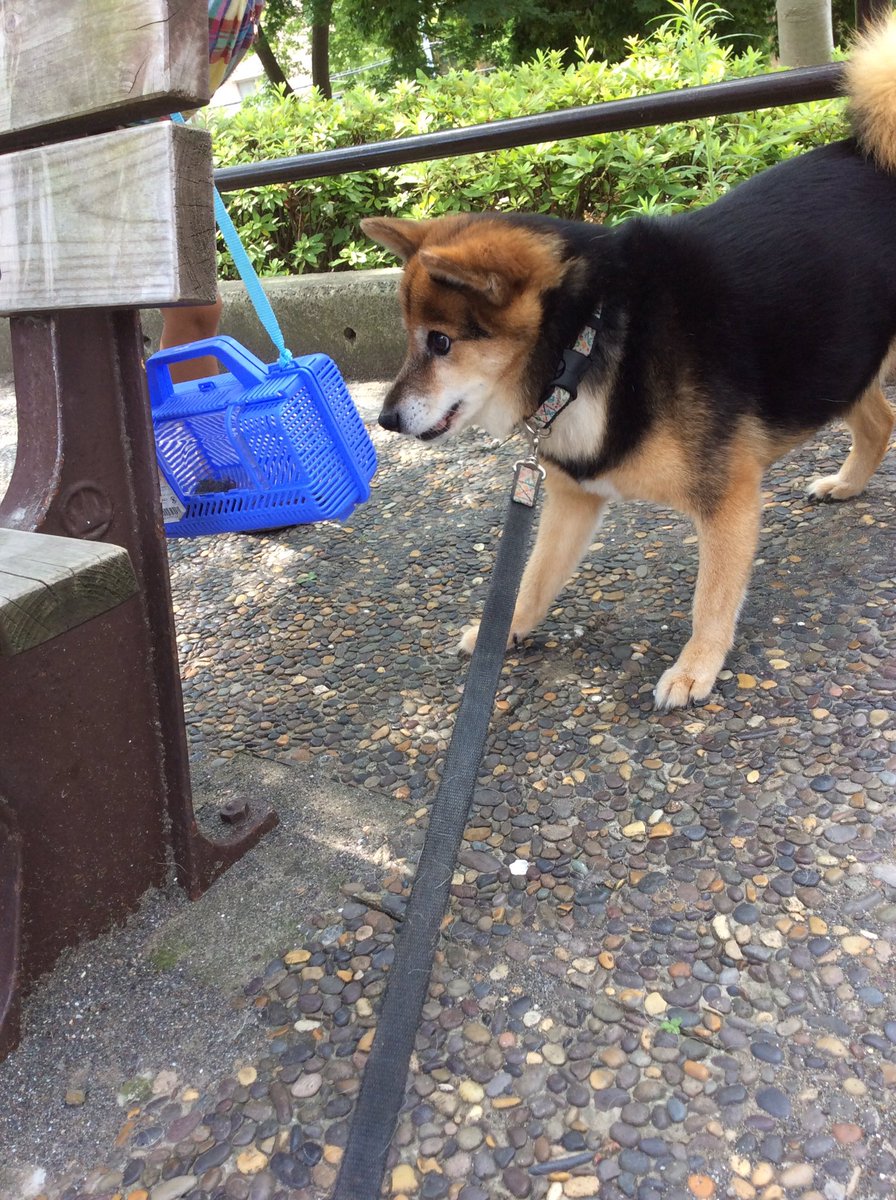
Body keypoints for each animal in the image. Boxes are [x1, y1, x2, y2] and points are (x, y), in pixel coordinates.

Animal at [364, 21, 896, 710]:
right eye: (411, 340)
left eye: (441, 343)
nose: (385, 420)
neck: (587, 348)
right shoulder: (570, 497)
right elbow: (532, 576)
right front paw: (505, 629)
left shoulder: (729, 498)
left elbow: (711, 598)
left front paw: (696, 666)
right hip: (834, 358)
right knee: (879, 422)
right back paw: (847, 483)